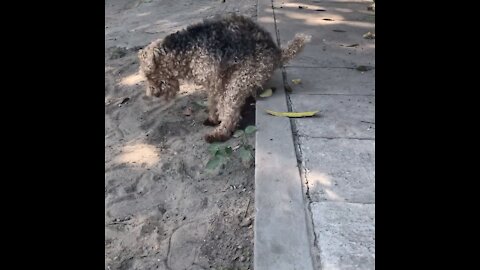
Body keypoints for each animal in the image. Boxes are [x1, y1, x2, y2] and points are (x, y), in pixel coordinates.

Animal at [139, 14, 312, 143]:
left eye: (149, 75)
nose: (153, 94)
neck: (186, 49)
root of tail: (277, 52)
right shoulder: (215, 81)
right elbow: (212, 101)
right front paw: (212, 117)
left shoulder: (217, 78)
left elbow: (221, 104)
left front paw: (217, 120)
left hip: (241, 78)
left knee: (231, 110)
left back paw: (220, 133)